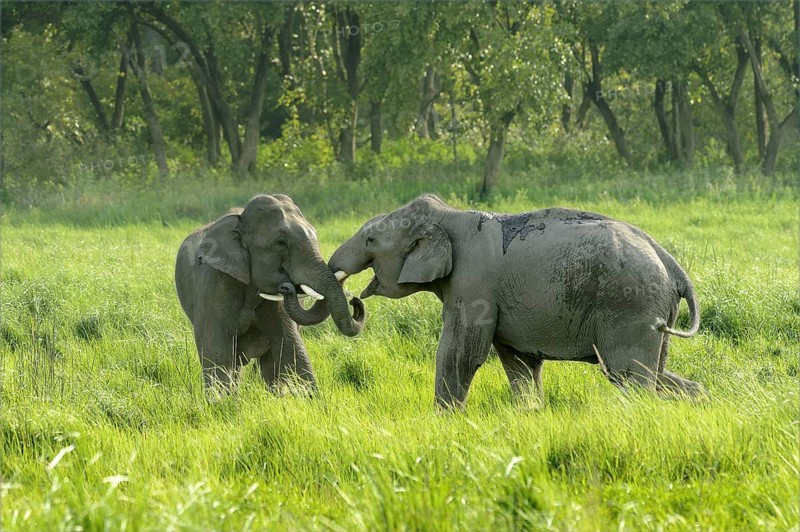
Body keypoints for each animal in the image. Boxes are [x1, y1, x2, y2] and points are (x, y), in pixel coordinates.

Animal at [326, 194, 703, 409]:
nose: (355, 299)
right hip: (653, 312)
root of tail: (672, 265)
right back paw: (698, 397)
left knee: (628, 375)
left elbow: (460, 354)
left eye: (370, 240)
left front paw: (444, 421)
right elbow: (518, 361)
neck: (450, 215)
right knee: (653, 372)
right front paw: (530, 413)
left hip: (631, 307)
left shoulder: (473, 285)